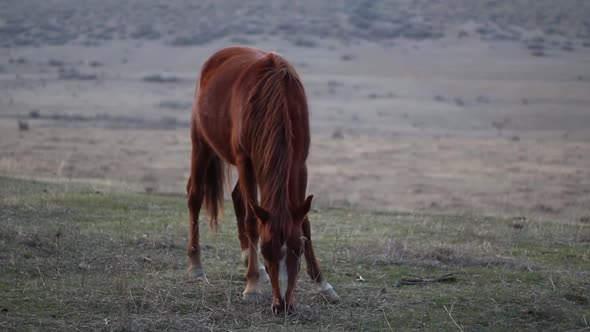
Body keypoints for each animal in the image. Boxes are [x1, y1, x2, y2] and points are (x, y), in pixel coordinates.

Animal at [187, 46, 340, 314]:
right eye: (266, 251)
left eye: (298, 251)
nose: (282, 306)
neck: (278, 97)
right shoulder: (245, 161)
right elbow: (251, 221)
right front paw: (253, 286)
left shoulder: (299, 164)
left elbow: (304, 222)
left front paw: (323, 284)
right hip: (201, 142)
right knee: (195, 196)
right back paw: (196, 265)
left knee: (237, 197)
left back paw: (248, 260)